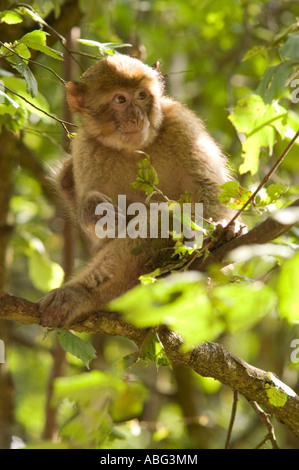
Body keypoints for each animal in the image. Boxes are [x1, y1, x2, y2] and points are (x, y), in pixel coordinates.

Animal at [38, 54, 245, 326]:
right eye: (120, 99)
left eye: (142, 96)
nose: (137, 117)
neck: (133, 148)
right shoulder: (85, 148)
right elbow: (101, 235)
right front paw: (95, 211)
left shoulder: (182, 125)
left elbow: (208, 195)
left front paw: (223, 229)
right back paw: (82, 294)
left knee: (166, 217)